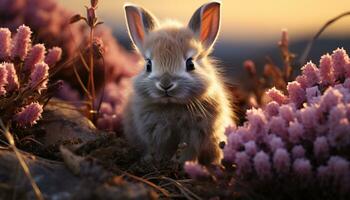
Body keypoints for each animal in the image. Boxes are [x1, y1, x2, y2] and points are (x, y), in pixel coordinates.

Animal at [122, 1, 235, 164]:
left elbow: (187, 152)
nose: (165, 84)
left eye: (190, 64)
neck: (172, 105)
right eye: (148, 65)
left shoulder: (193, 137)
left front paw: (184, 164)